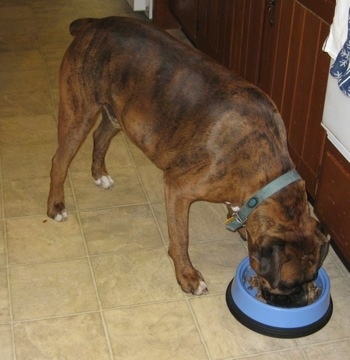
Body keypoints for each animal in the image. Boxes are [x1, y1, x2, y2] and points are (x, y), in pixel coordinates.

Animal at [47, 16, 330, 304]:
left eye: (312, 277)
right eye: (287, 284)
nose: (302, 299)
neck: (263, 170)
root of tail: (95, 23)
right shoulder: (178, 189)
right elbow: (181, 237)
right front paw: (188, 276)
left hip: (119, 115)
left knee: (100, 135)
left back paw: (99, 174)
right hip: (78, 115)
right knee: (59, 161)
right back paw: (56, 205)